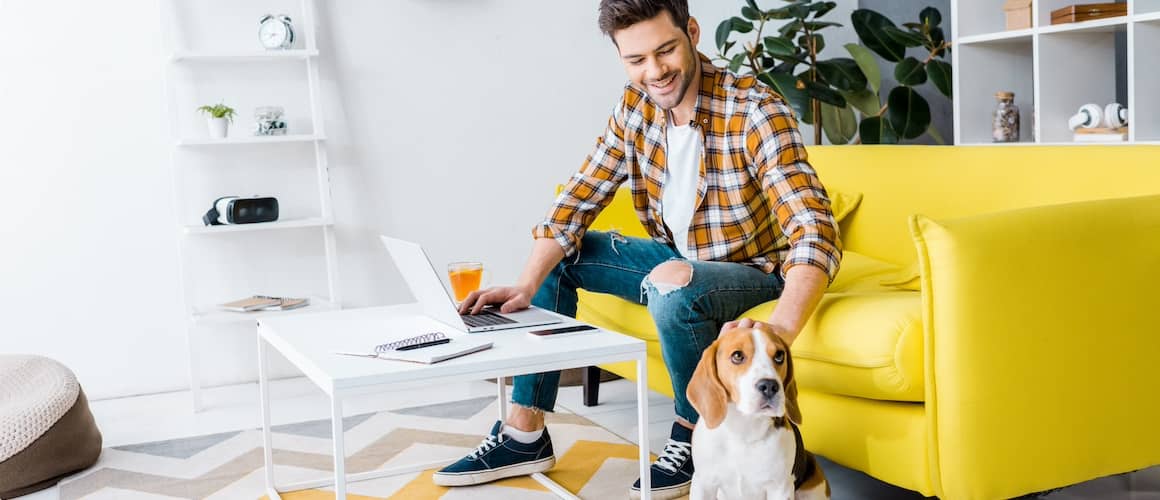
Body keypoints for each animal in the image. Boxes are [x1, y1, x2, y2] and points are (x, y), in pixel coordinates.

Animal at [682, 327, 830, 498]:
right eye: (737, 356)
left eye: (779, 356)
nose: (770, 386)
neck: (744, 429)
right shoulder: (703, 483)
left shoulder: (780, 489)